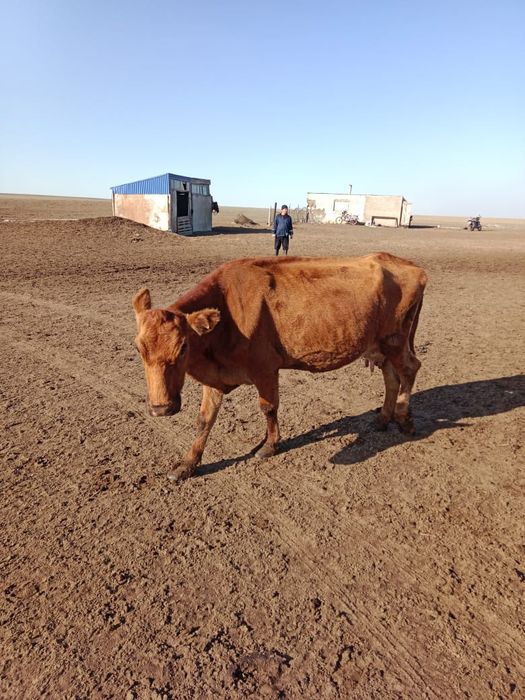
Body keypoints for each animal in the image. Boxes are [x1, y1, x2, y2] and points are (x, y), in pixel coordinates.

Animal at [132, 253, 427, 481]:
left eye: (183, 347)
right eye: (138, 348)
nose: (160, 408)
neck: (228, 315)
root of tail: (411, 266)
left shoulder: (265, 368)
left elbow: (268, 407)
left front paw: (269, 446)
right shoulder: (215, 378)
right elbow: (204, 420)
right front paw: (187, 464)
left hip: (395, 341)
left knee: (410, 369)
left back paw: (404, 419)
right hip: (380, 346)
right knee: (392, 377)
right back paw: (383, 418)